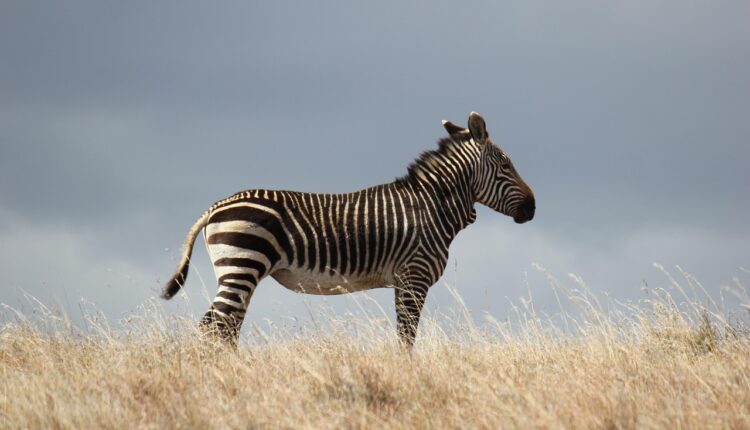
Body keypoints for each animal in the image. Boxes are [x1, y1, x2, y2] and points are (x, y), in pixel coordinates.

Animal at [162, 112, 535, 347]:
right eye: (505, 165)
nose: (532, 208)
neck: (432, 206)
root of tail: (215, 207)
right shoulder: (414, 277)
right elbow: (407, 335)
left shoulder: (403, 281)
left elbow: (403, 334)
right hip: (243, 263)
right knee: (213, 325)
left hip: (240, 271)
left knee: (227, 327)